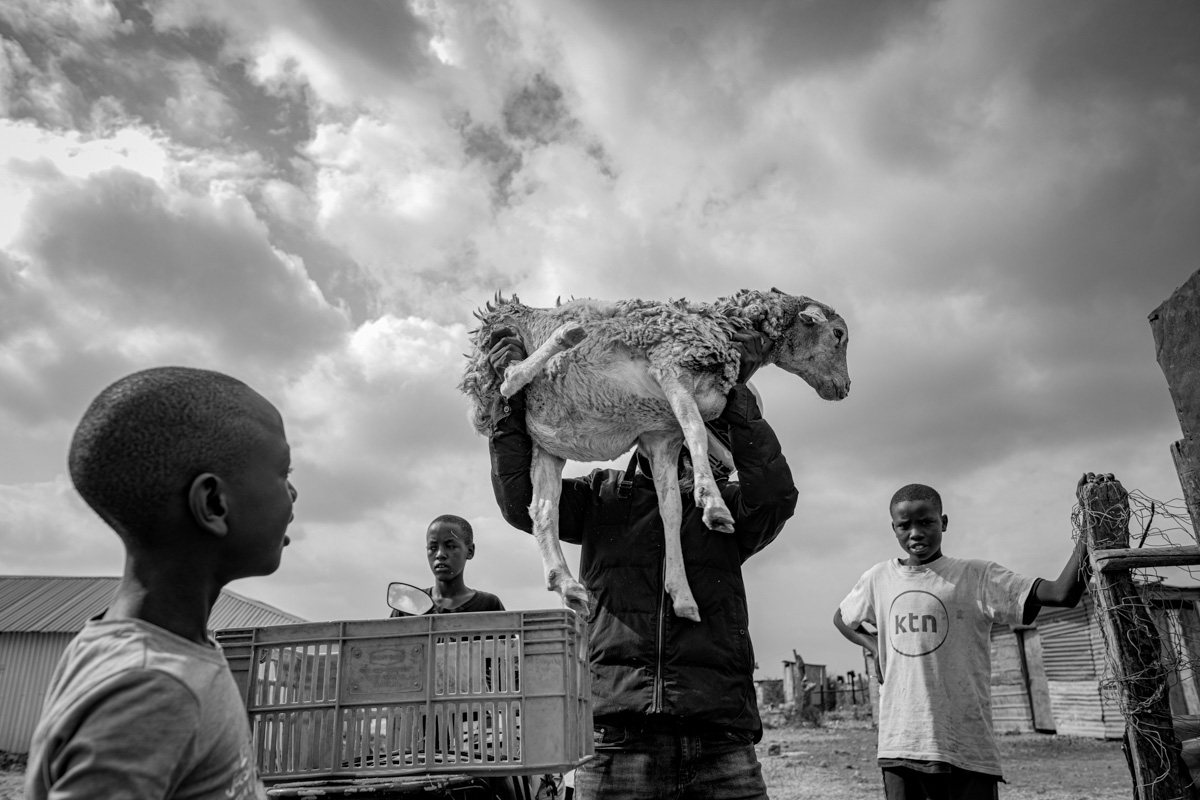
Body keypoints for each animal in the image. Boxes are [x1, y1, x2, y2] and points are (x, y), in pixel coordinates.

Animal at [456, 291, 844, 623]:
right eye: (839, 333)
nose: (844, 388)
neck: (721, 324)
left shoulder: (662, 436)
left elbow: (671, 508)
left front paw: (683, 596)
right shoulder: (672, 368)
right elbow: (697, 432)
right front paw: (715, 507)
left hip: (547, 443)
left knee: (541, 510)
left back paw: (567, 586)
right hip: (502, 358)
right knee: (509, 377)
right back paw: (565, 335)